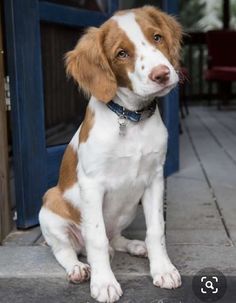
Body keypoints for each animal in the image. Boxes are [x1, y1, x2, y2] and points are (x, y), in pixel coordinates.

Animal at [38, 5, 183, 303]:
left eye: (157, 37)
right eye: (122, 54)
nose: (162, 74)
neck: (131, 118)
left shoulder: (154, 179)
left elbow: (156, 230)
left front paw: (162, 269)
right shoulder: (92, 185)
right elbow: (96, 238)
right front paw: (104, 283)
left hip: (127, 210)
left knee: (114, 237)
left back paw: (136, 246)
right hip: (50, 208)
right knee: (65, 250)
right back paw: (79, 268)